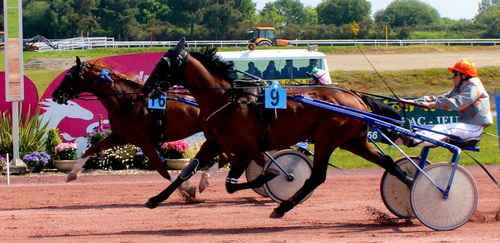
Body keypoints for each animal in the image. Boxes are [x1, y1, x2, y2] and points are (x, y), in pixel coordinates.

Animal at [51, 56, 229, 199]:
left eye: (69, 76)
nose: (55, 94)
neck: (126, 101)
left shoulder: (144, 142)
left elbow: (162, 169)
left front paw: (187, 189)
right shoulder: (120, 136)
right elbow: (92, 148)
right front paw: (73, 173)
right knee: (226, 156)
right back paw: (205, 180)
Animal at [140, 39, 410, 218]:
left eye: (163, 64)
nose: (146, 88)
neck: (227, 99)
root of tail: (354, 96)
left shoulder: (246, 147)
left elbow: (233, 182)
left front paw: (274, 175)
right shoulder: (214, 143)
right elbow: (187, 172)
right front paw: (156, 198)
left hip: (327, 139)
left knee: (317, 176)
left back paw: (283, 206)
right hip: (352, 140)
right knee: (388, 162)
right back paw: (409, 182)